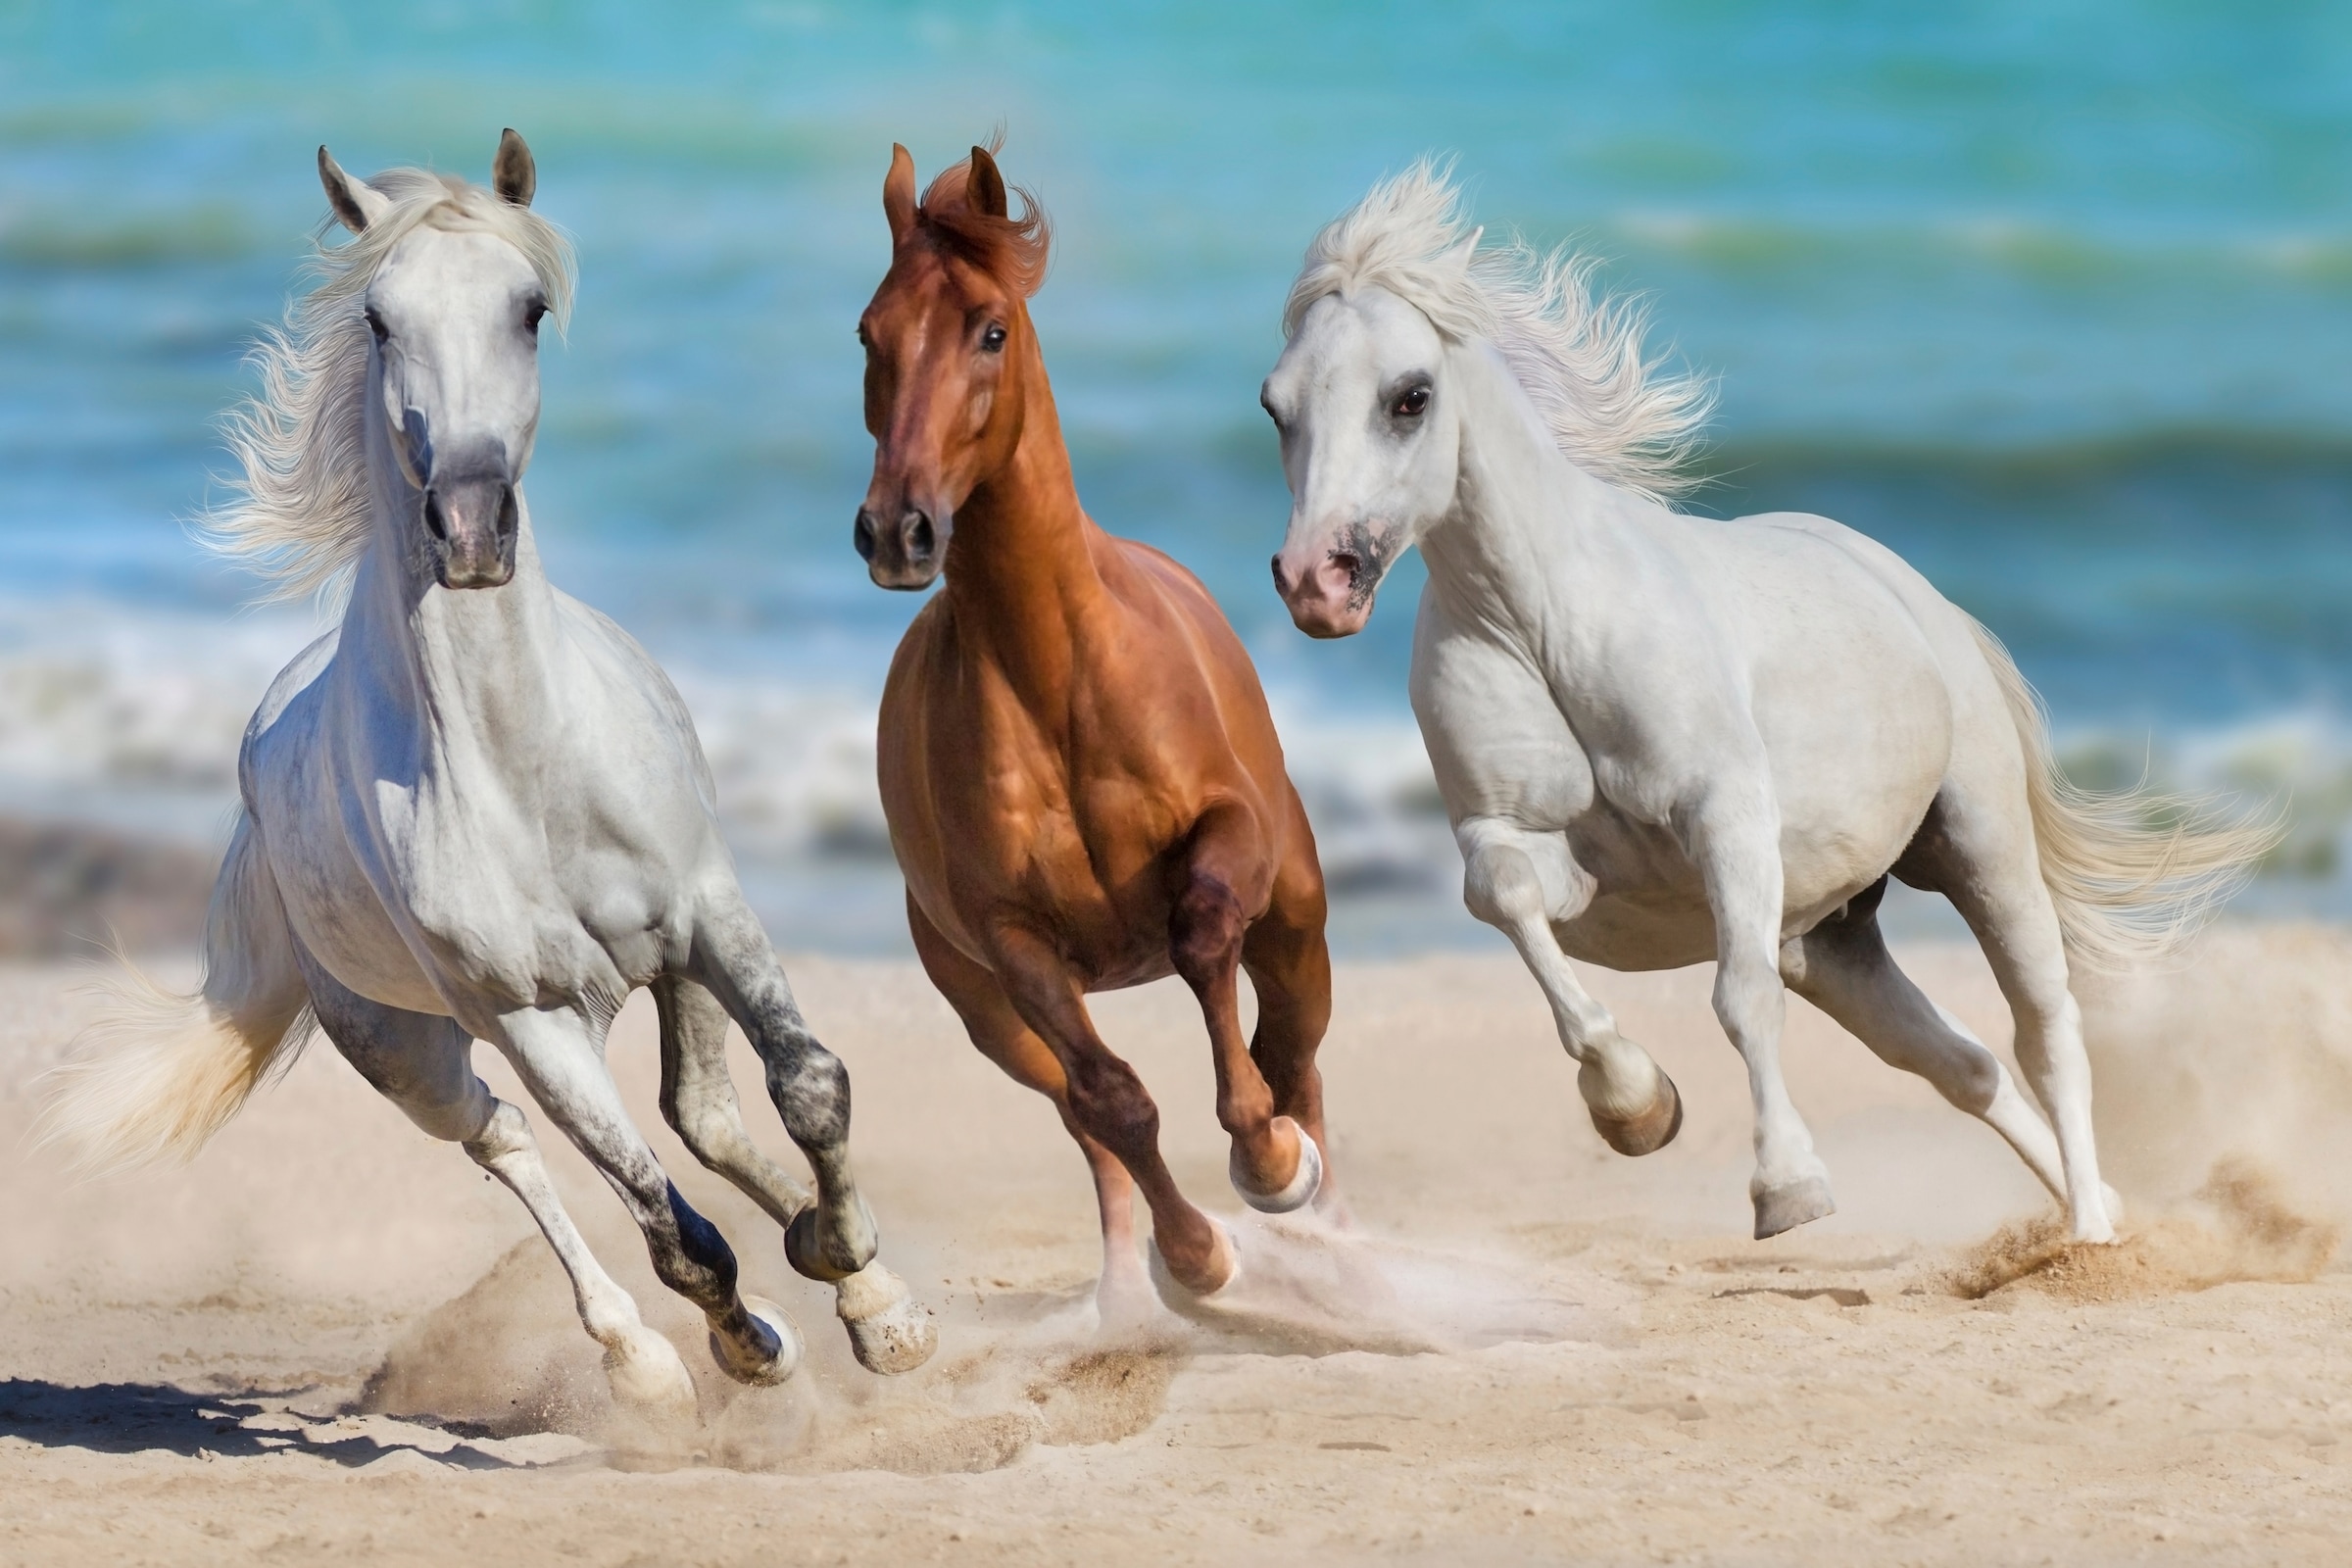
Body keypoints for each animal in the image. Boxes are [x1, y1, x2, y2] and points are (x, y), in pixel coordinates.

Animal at [43, 131, 926, 1410]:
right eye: (377, 318)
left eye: (529, 308)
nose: (468, 527)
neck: (528, 766)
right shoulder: (530, 1019)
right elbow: (668, 1225)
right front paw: (750, 1345)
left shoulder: (709, 913)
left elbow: (808, 1082)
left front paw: (872, 1295)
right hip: (406, 1048)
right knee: (504, 1139)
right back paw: (642, 1360)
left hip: (665, 969)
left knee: (703, 1114)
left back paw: (833, 1269)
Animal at [856, 143, 1336, 1316]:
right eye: (869, 333)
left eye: (989, 329)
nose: (897, 530)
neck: (1055, 677)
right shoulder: (1015, 946)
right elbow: (1115, 1100)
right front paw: (1197, 1258)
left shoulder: (1229, 840)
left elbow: (1204, 942)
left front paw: (1267, 1162)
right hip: (990, 1015)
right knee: (1082, 1113)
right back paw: (1134, 1281)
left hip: (1298, 919)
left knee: (1296, 1049)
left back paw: (1320, 1204)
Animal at [1270, 166, 2277, 1241]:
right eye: (1275, 406)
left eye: (1409, 397)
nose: (1315, 582)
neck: (1545, 629)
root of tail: (1924, 601)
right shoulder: (1522, 847)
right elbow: (1506, 901)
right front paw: (1638, 1108)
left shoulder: (1728, 820)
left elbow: (1739, 997)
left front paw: (1788, 1188)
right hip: (1833, 941)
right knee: (1960, 1063)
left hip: (1982, 845)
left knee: (2045, 1028)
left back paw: (2090, 1232)